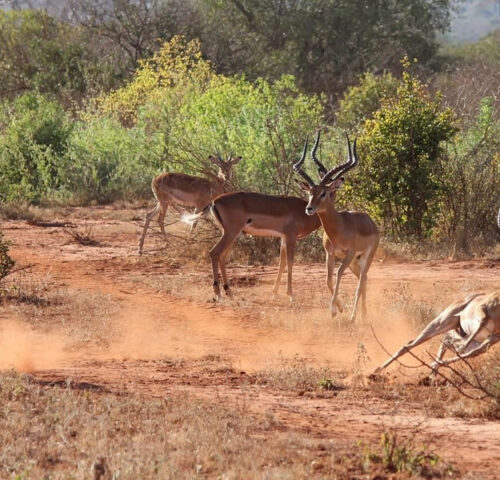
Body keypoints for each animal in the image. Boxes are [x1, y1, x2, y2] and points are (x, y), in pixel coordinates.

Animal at [182, 139, 334, 302]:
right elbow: (290, 262)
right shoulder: (290, 237)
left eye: (325, 192)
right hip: (231, 233)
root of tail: (214, 201)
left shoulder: (283, 237)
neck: (301, 210)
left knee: (222, 256)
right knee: (214, 253)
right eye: (313, 192)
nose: (311, 208)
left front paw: (275, 293)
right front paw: (291, 295)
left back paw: (229, 291)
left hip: (230, 234)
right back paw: (218, 293)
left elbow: (281, 263)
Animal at [292, 130, 378, 322]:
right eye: (310, 192)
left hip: (365, 257)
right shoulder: (329, 254)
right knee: (364, 279)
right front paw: (338, 308)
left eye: (324, 193)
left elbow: (338, 274)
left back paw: (354, 316)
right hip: (355, 262)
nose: (309, 208)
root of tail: (371, 222)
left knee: (361, 281)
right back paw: (364, 314)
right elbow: (328, 279)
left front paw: (333, 309)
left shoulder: (349, 253)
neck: (339, 227)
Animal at [372, 290, 500, 376]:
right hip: (440, 324)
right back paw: (375, 372)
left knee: (453, 342)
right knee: (410, 344)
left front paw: (433, 367)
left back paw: (432, 374)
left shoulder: (491, 338)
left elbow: (469, 352)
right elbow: (462, 348)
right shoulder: (482, 315)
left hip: (471, 334)